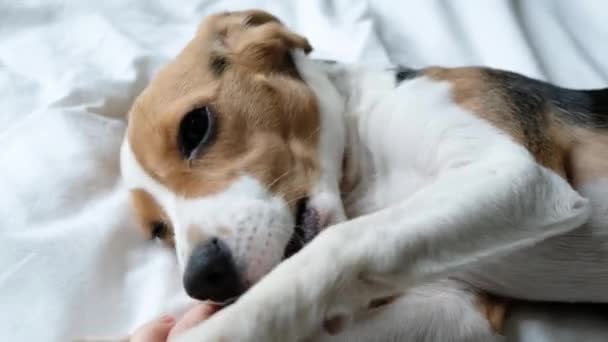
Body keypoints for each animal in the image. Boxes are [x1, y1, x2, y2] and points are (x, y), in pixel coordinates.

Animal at [121, 9, 608, 340]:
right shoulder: (451, 304)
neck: (363, 175)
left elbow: (340, 245)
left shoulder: (521, 176)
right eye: (160, 231)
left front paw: (221, 327)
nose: (203, 279)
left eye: (195, 127)